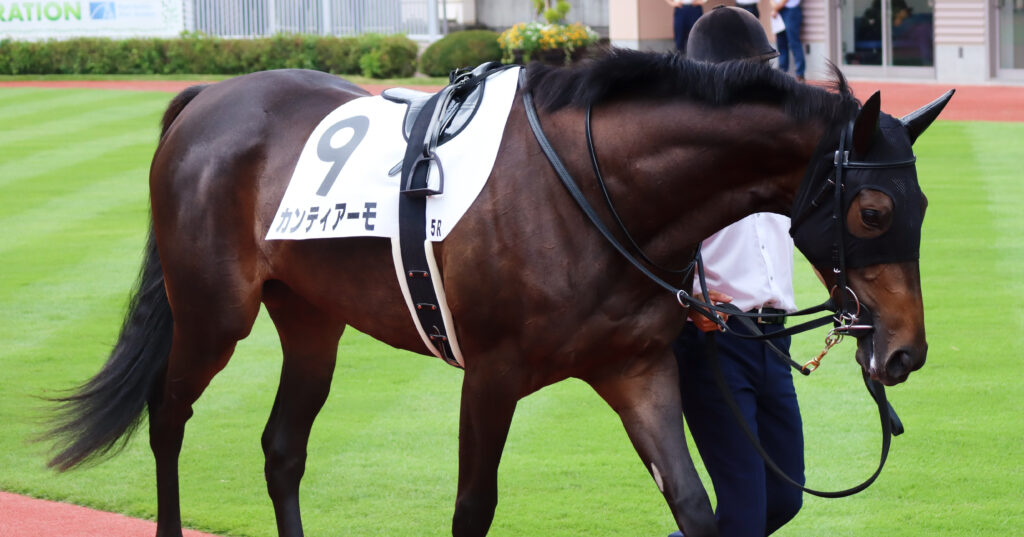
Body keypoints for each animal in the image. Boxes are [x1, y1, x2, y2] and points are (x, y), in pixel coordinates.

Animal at [45, 50, 951, 537]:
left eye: (923, 207)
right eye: (874, 210)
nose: (905, 349)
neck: (589, 187)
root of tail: (208, 97)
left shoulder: (635, 365)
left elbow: (697, 505)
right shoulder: (491, 373)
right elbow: (472, 509)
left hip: (311, 318)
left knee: (281, 445)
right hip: (212, 310)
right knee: (168, 416)